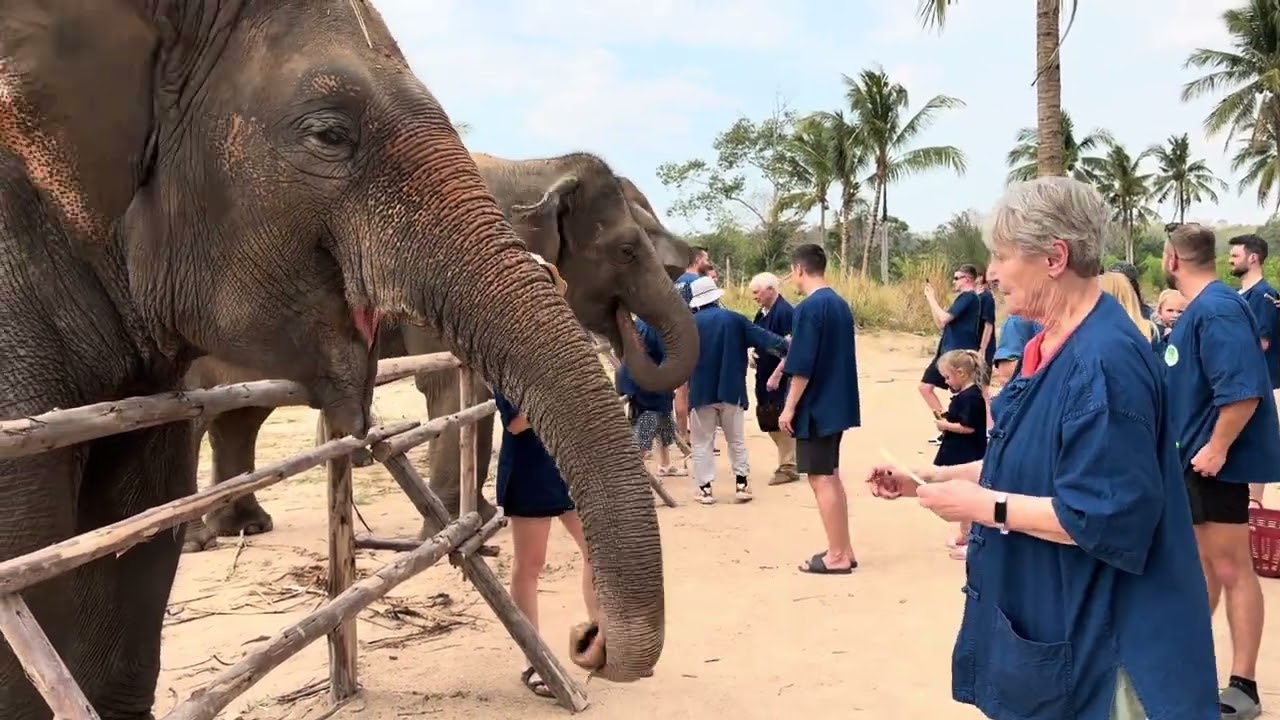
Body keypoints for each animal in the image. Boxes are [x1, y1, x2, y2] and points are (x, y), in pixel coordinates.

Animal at [179, 161, 695, 552]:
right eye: (627, 250)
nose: (623, 325)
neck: (535, 166)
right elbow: (451, 384)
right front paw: (453, 526)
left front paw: (482, 517)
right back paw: (197, 543)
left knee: (242, 417)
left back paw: (246, 527)